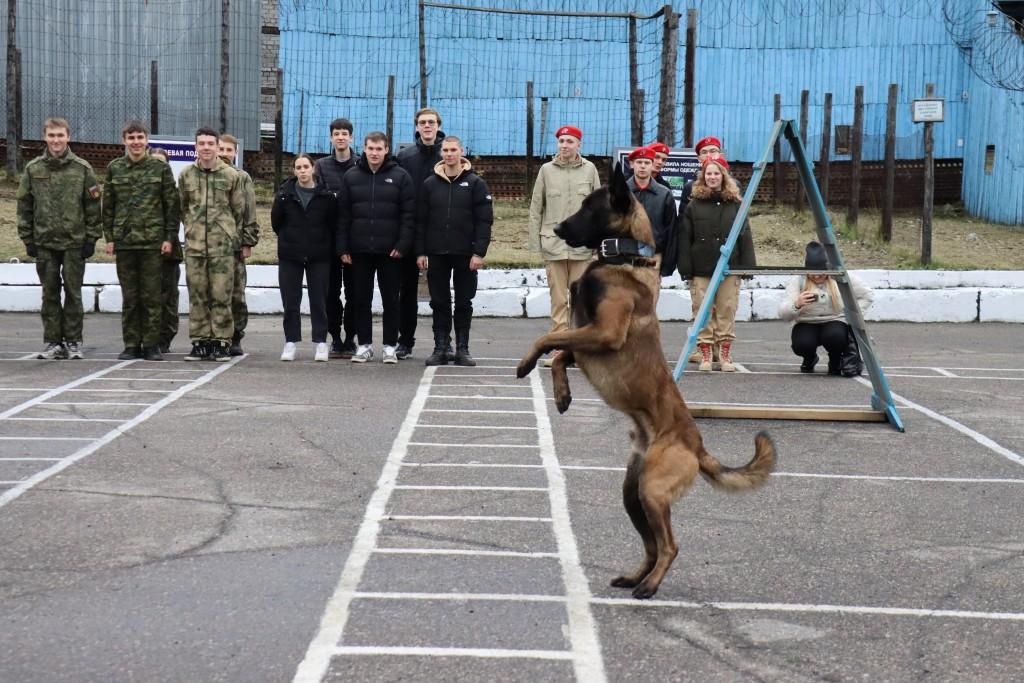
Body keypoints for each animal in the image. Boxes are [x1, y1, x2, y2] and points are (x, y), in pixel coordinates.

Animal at [516, 163, 770, 598]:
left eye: (589, 207)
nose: (558, 228)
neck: (626, 257)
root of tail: (697, 447)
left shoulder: (604, 333)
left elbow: (547, 339)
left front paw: (526, 363)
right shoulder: (586, 339)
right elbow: (561, 352)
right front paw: (562, 394)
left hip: (651, 490)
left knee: (669, 544)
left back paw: (649, 586)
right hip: (632, 495)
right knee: (651, 544)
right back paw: (635, 576)